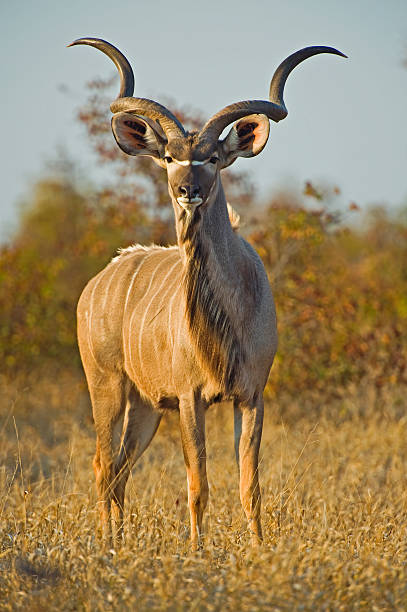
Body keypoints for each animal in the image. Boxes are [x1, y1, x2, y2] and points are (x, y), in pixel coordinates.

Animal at [71, 38, 346, 544]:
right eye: (168, 157)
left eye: (213, 158)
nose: (187, 189)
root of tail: (100, 279)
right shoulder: (189, 398)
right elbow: (197, 483)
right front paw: (198, 551)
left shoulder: (251, 396)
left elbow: (249, 485)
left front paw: (258, 550)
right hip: (108, 387)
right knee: (102, 465)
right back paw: (106, 544)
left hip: (145, 406)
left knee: (119, 469)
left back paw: (118, 544)